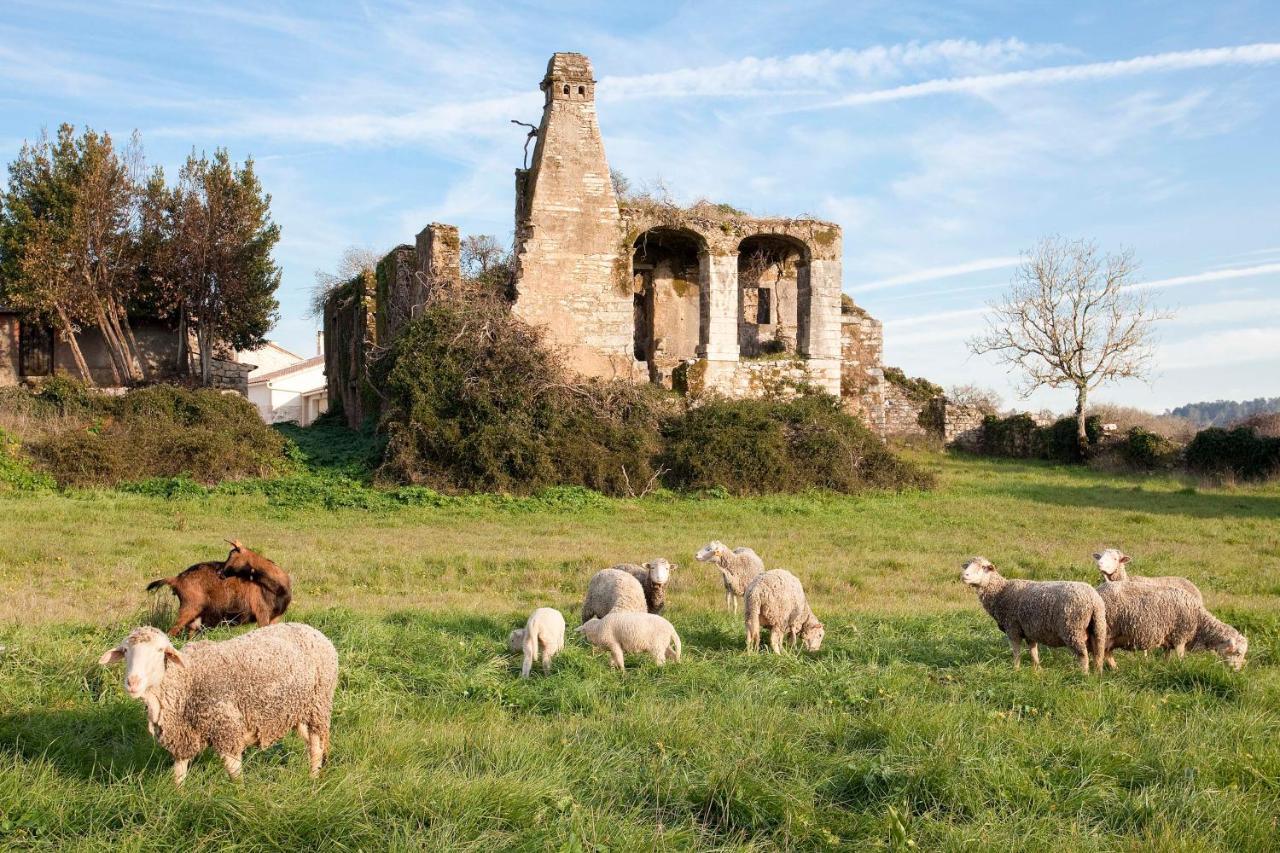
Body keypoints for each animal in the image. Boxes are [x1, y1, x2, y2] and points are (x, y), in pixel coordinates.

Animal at [98, 614, 340, 778]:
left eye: (160, 651)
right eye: (125, 651)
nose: (133, 682)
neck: (186, 681)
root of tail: (313, 630)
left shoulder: (226, 729)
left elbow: (235, 774)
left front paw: (240, 798)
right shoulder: (183, 734)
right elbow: (178, 774)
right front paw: (178, 798)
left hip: (319, 705)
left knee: (315, 746)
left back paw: (313, 778)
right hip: (297, 710)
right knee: (314, 742)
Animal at [147, 537, 293, 630]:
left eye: (231, 555)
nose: (219, 572)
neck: (277, 586)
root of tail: (177, 579)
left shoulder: (275, 617)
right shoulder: (262, 613)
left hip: (197, 616)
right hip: (189, 607)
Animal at [962, 555, 1105, 676]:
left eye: (983, 567)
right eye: (967, 565)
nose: (964, 575)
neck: (1000, 592)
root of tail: (1093, 599)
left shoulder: (1013, 629)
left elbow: (1016, 653)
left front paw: (1016, 670)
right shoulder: (1029, 630)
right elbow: (1033, 652)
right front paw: (1037, 669)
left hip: (1072, 629)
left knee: (1083, 655)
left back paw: (1083, 675)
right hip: (1098, 627)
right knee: (1099, 653)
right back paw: (1097, 674)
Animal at [1090, 581, 1249, 666]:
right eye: (1238, 653)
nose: (1237, 670)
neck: (1199, 622)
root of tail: (1098, 590)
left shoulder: (1170, 640)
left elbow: (1166, 657)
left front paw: (1165, 667)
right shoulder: (1180, 636)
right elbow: (1180, 658)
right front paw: (1180, 668)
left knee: (1107, 652)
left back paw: (1115, 669)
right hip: (1106, 630)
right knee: (1102, 652)